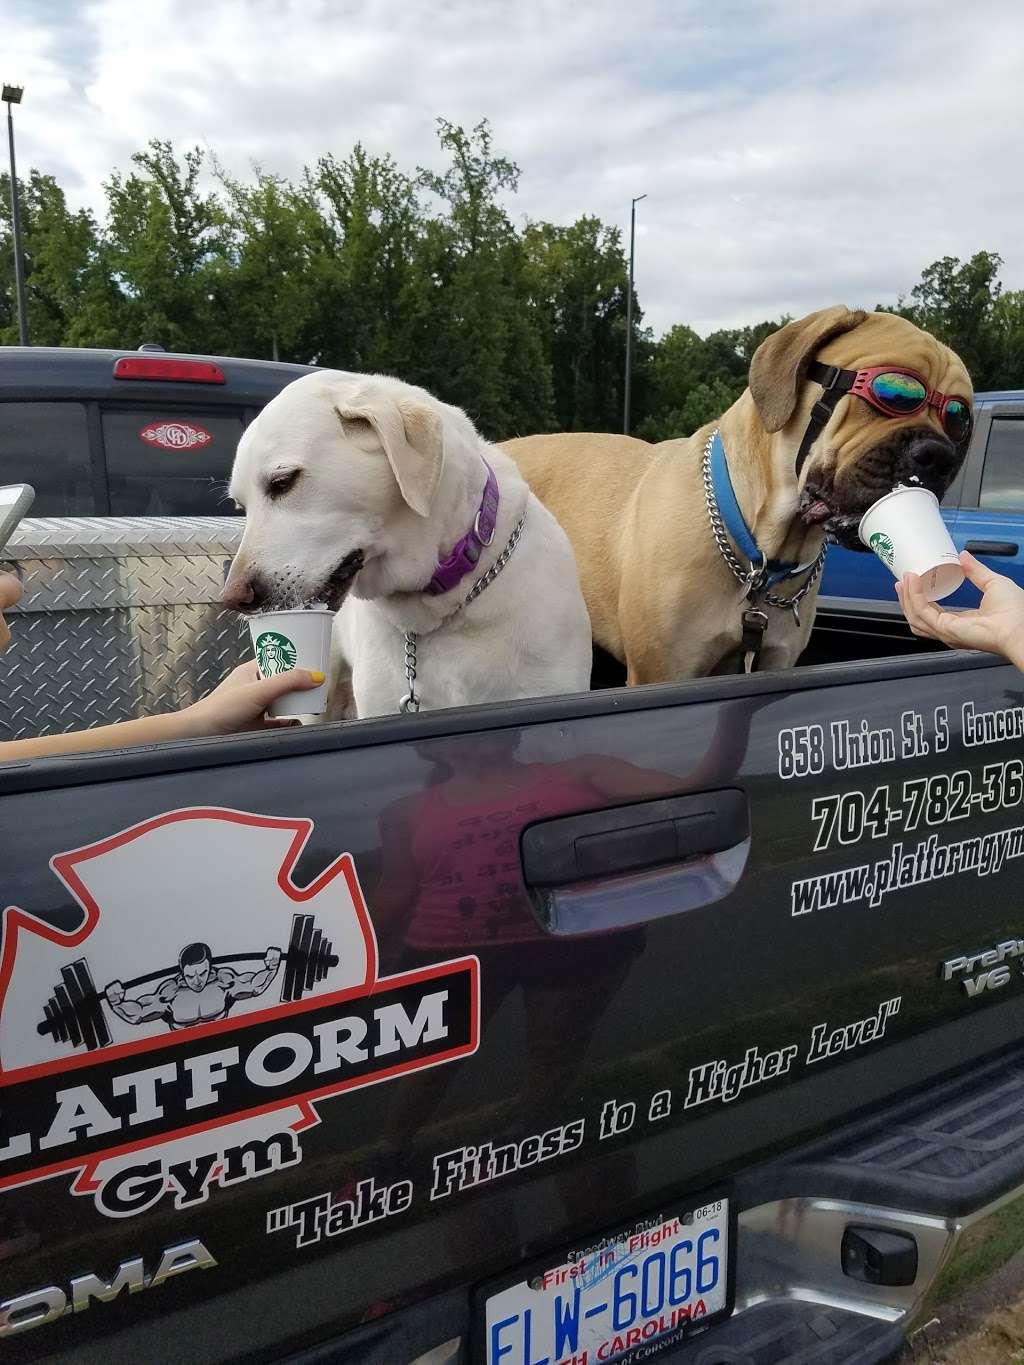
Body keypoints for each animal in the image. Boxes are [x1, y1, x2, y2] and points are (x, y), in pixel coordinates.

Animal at [505, 307, 977, 679]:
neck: (760, 547)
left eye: (959, 420)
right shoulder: (664, 670)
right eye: (894, 394)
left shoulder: (772, 660)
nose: (938, 454)